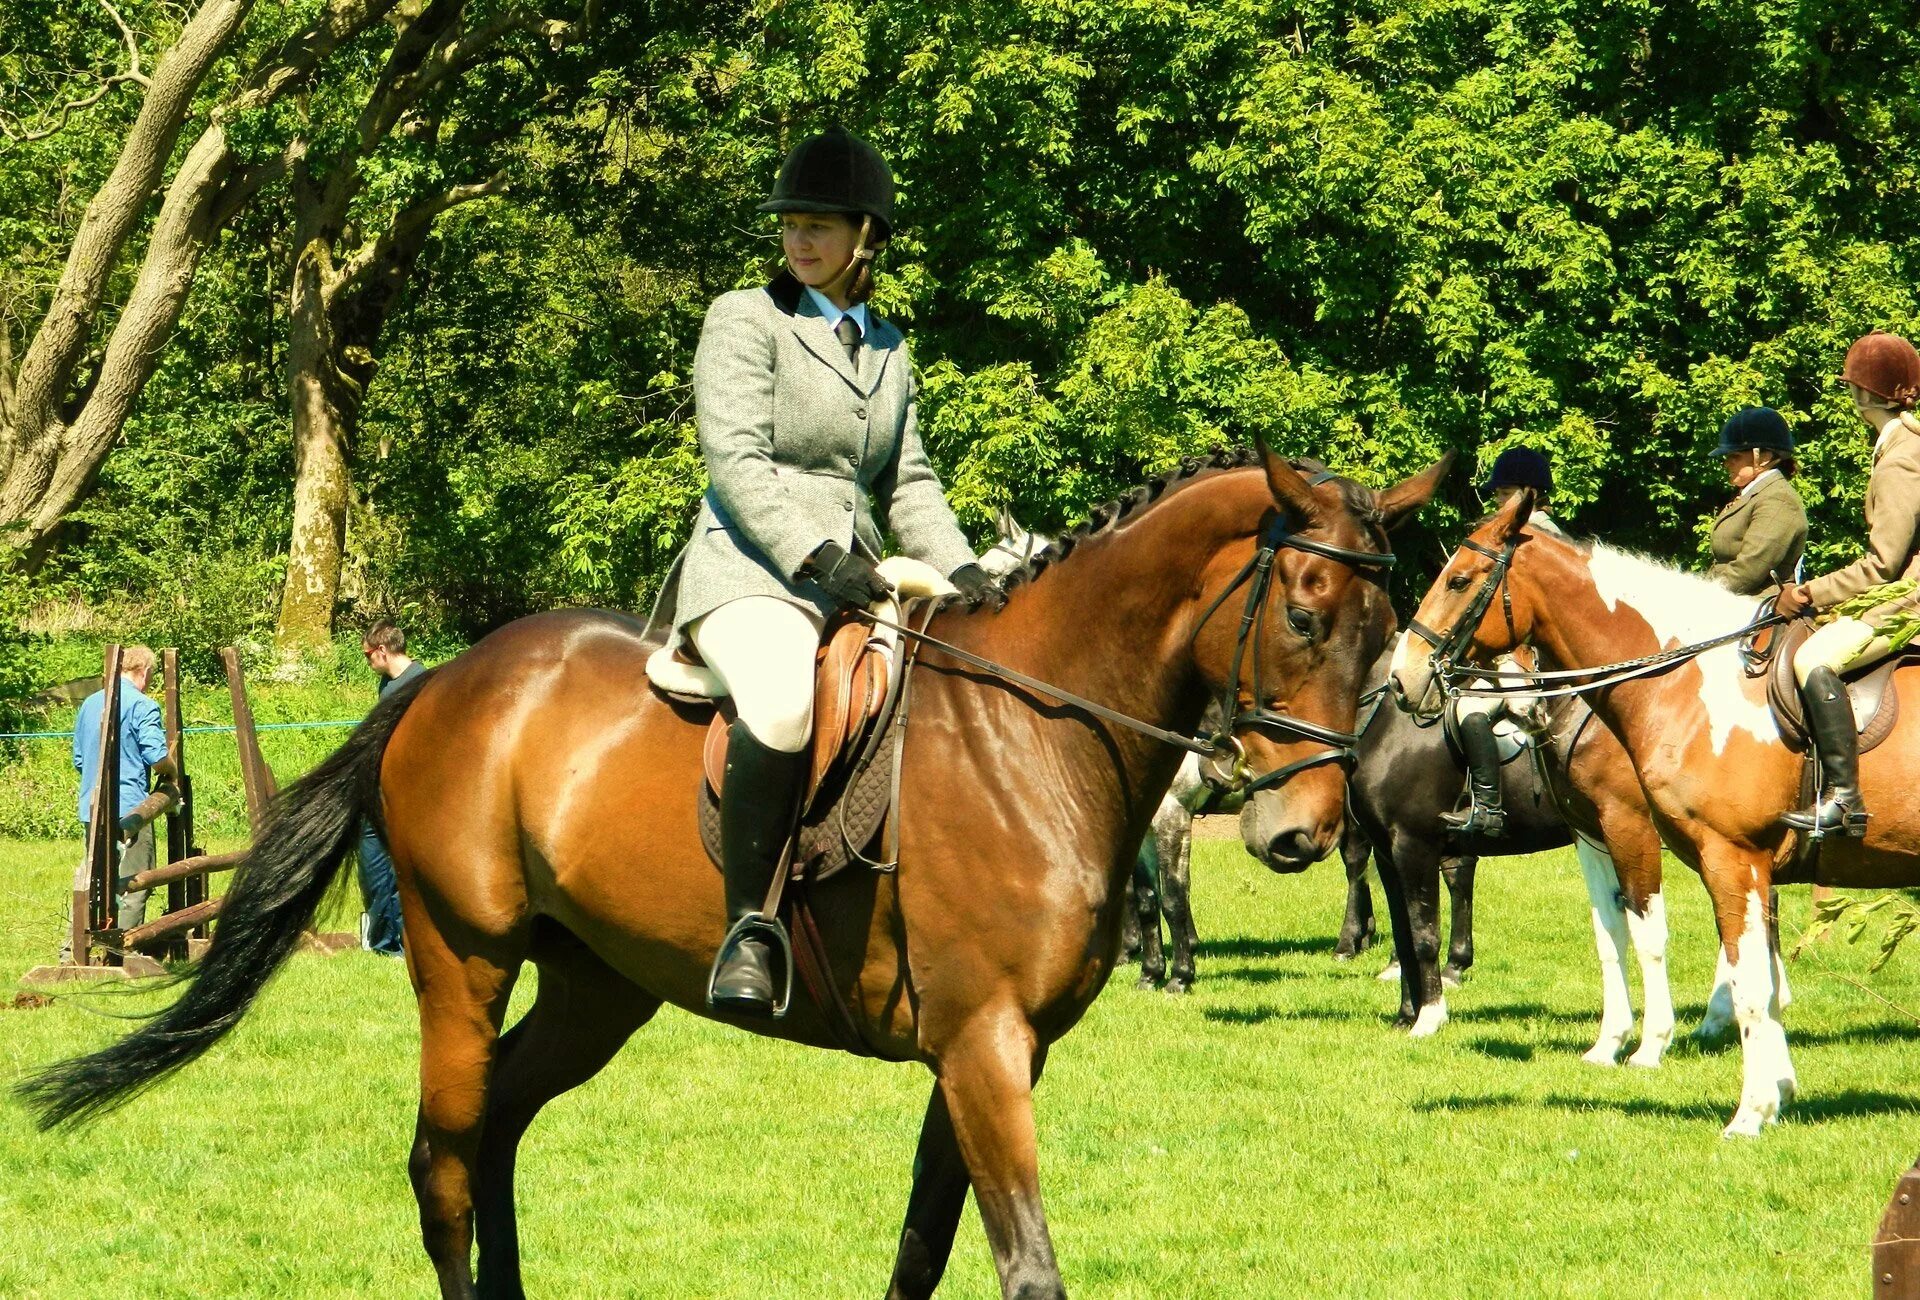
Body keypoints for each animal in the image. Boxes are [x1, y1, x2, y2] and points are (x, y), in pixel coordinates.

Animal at [26, 441, 1443, 1290]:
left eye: (1388, 624)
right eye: (1304, 612)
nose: (1299, 833)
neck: (1037, 733)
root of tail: (445, 679)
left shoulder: (993, 1050)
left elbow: (925, 1244)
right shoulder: (983, 1044)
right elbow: (1024, 1261)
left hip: (596, 986)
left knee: (497, 1134)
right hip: (461, 957)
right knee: (442, 1161)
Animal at [1390, 495, 1896, 1136]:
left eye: (1458, 580)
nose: (1402, 680)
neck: (1684, 684)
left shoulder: (1653, 833)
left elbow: (1656, 934)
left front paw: (1662, 1051)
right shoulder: (1592, 836)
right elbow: (1612, 934)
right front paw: (1612, 1042)